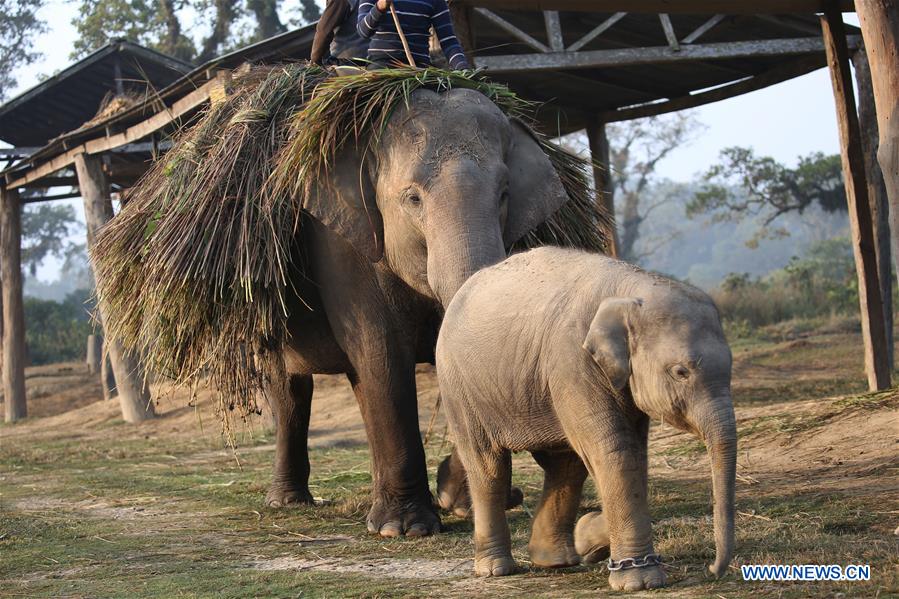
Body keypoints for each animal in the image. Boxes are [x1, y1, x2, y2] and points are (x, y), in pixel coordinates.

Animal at [436, 247, 740, 592]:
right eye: (681, 372)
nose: (712, 570)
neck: (629, 291)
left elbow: (634, 454)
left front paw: (589, 537)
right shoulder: (573, 362)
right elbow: (616, 453)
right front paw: (638, 581)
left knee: (566, 465)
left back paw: (556, 560)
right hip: (459, 387)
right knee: (489, 465)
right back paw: (495, 569)